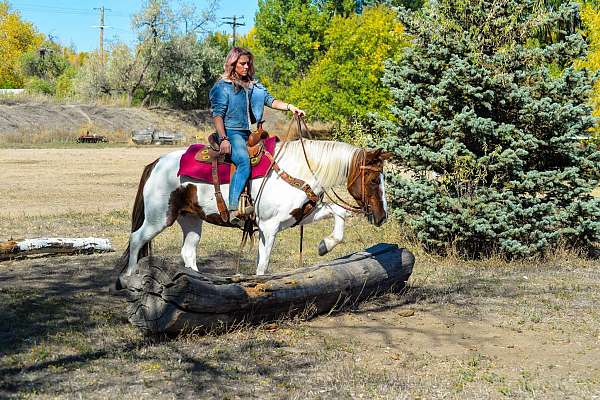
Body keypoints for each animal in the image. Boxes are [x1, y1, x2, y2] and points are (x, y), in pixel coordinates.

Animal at [115, 139, 392, 282]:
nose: (382, 217)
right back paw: (127, 277)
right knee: (136, 239)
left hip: (191, 219)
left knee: (188, 252)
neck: (299, 169)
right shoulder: (269, 226)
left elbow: (339, 213)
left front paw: (326, 244)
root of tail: (155, 163)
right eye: (374, 180)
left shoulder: (301, 215)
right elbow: (263, 264)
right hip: (159, 218)